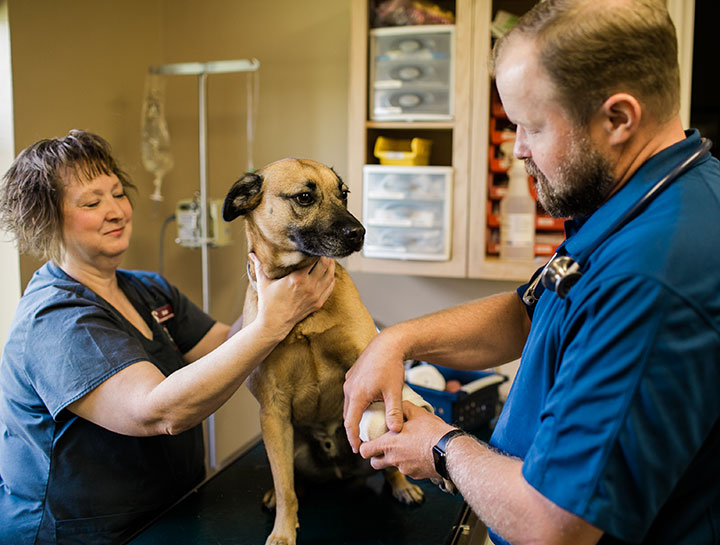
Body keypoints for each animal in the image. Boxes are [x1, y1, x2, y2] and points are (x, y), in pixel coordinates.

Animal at [224, 158, 422, 544]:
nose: (359, 233)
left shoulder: (365, 365)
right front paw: (283, 531)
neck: (305, 315)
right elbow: (286, 486)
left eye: (343, 193)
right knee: (289, 480)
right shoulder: (273, 410)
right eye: (304, 197)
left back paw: (401, 484)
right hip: (284, 441)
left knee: (386, 461)